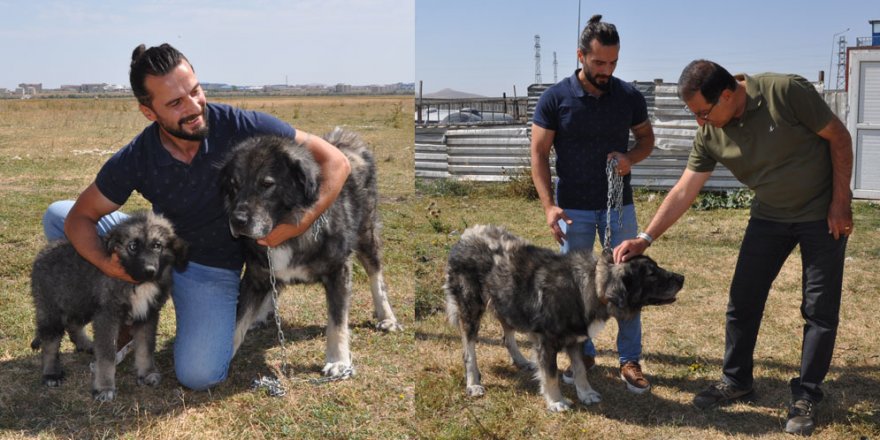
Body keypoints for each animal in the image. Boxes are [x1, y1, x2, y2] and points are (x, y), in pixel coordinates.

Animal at [30, 211, 187, 400]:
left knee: (73, 324)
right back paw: (51, 372)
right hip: (52, 308)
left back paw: (86, 344)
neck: (139, 284)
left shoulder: (147, 314)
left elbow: (146, 347)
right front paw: (105, 387)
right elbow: (107, 354)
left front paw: (147, 372)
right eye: (133, 246)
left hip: (82, 301)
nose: (150, 271)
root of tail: (43, 252)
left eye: (157, 246)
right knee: (50, 341)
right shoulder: (107, 315)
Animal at [218, 128, 400, 378]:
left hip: (366, 234)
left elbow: (337, 321)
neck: (286, 227)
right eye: (234, 185)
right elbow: (238, 319)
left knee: (376, 277)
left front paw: (338, 360)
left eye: (267, 184)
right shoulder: (255, 274)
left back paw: (387, 316)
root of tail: (347, 139)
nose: (237, 221)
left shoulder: (338, 271)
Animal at [444, 225, 684, 410]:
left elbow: (580, 370)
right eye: (651, 273)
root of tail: (465, 236)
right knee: (468, 352)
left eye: (656, 267)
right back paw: (473, 383)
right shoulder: (547, 343)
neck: (587, 287)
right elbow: (550, 374)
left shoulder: (576, 340)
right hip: (471, 311)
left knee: (507, 336)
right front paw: (555, 401)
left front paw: (585, 393)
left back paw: (520, 360)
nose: (682, 278)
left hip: (506, 302)